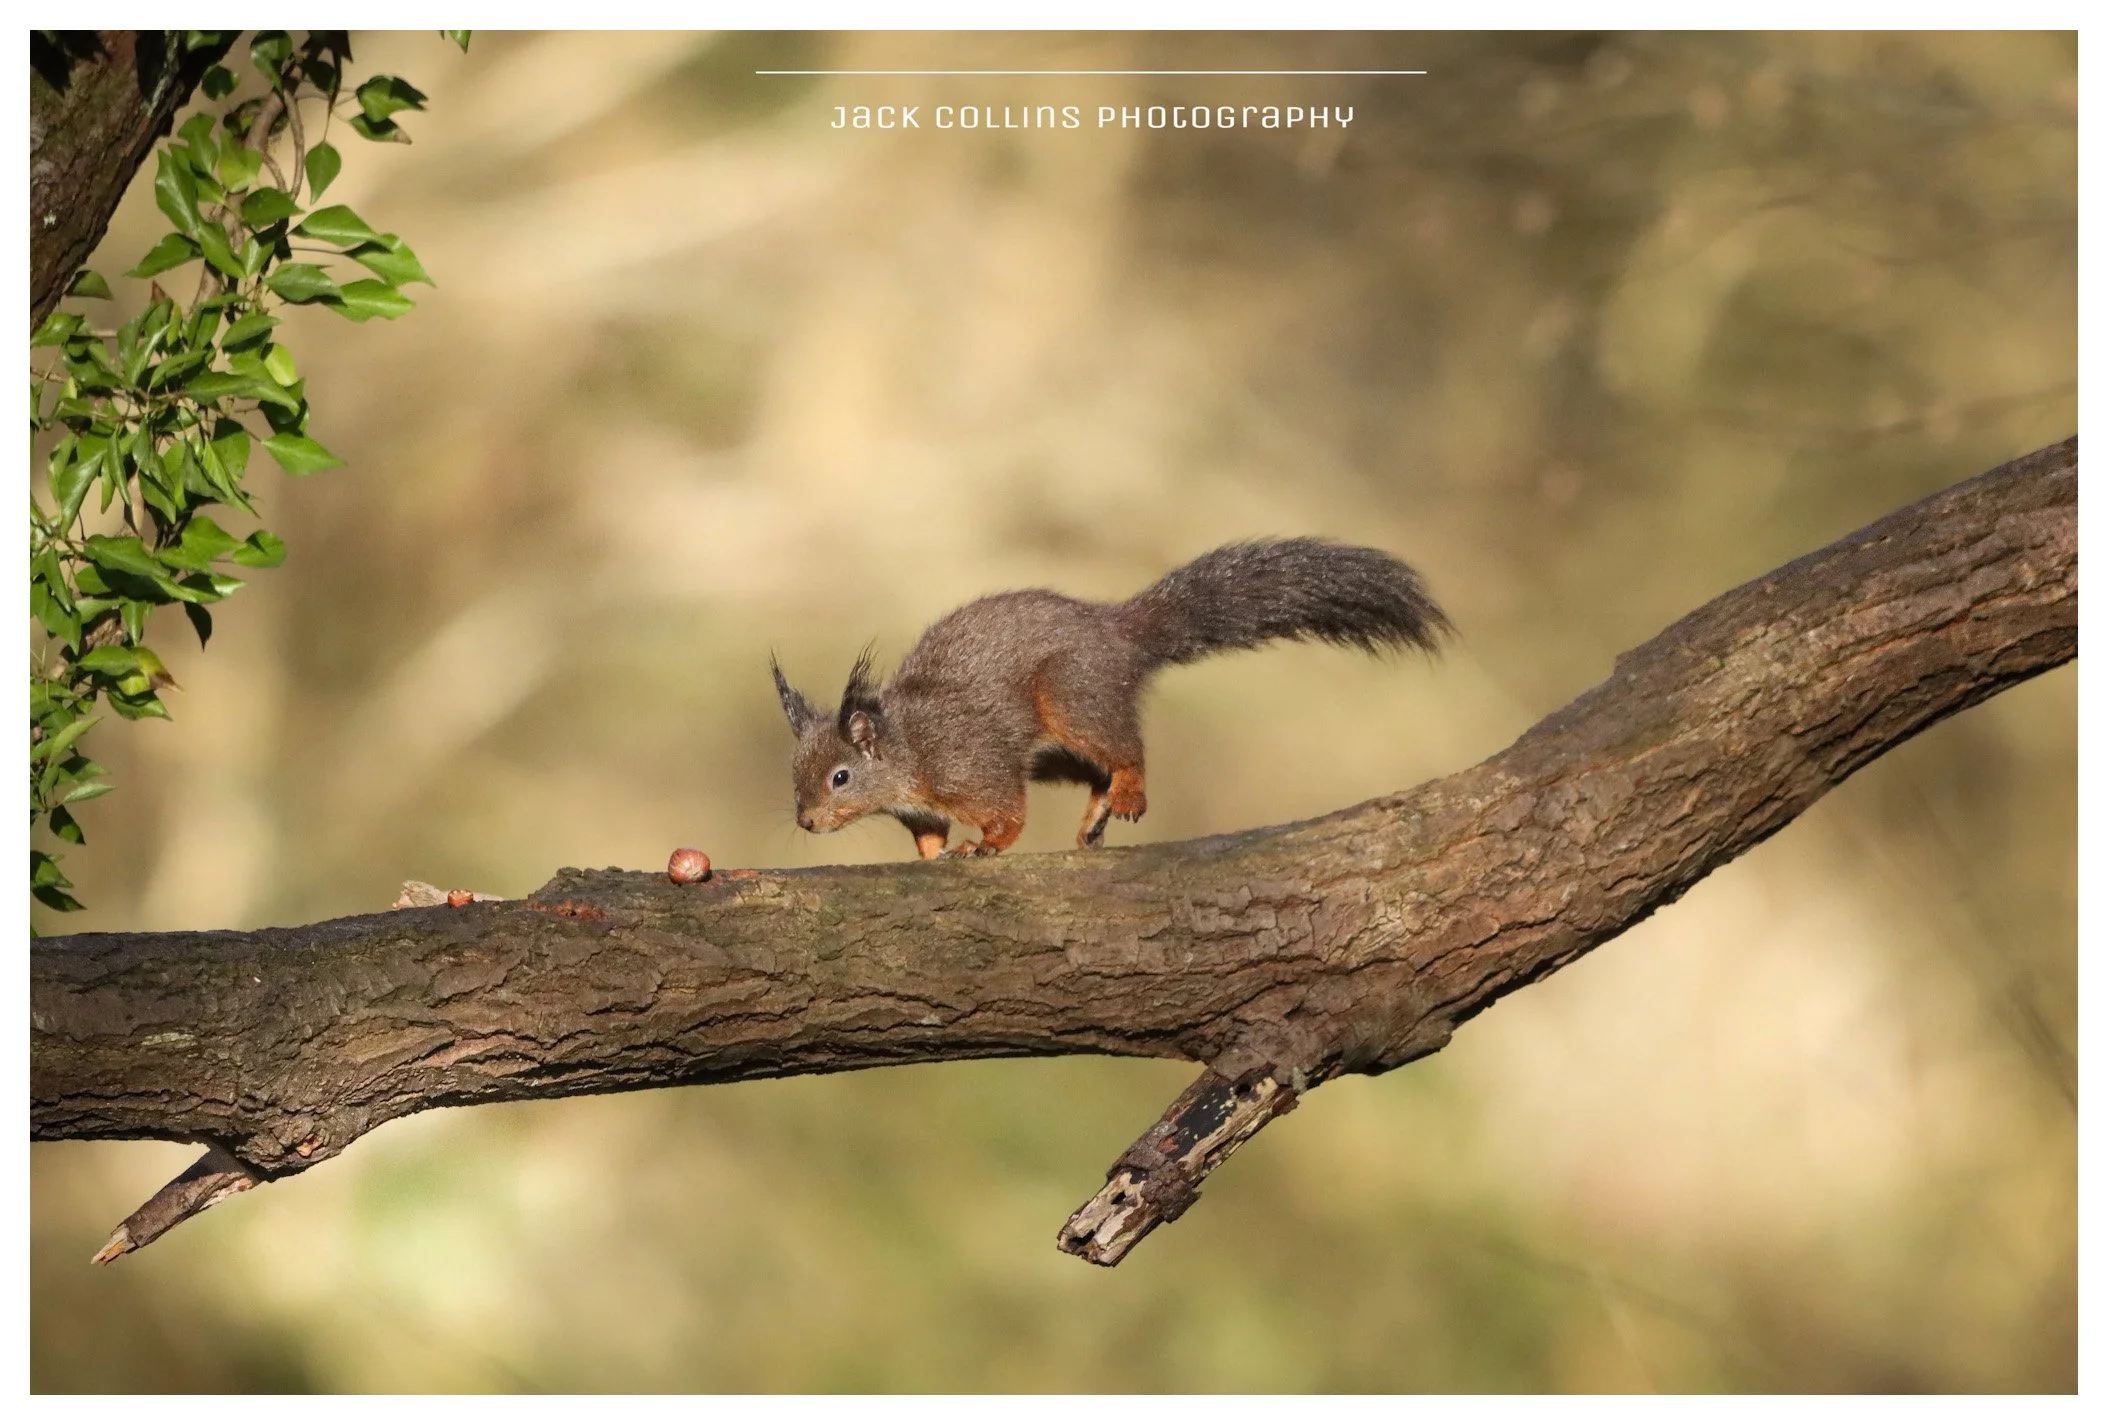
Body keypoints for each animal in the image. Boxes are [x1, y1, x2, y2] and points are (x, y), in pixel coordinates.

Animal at [771, 537, 1450, 859]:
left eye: (839, 777)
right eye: (795, 774)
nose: (805, 822)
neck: (907, 750)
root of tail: (1117, 633)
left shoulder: (970, 764)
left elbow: (1005, 812)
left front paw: (984, 845)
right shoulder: (921, 806)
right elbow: (928, 833)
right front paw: (931, 857)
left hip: (1073, 699)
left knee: (1125, 750)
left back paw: (1128, 792)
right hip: (1055, 755)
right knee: (1093, 770)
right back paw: (1097, 810)